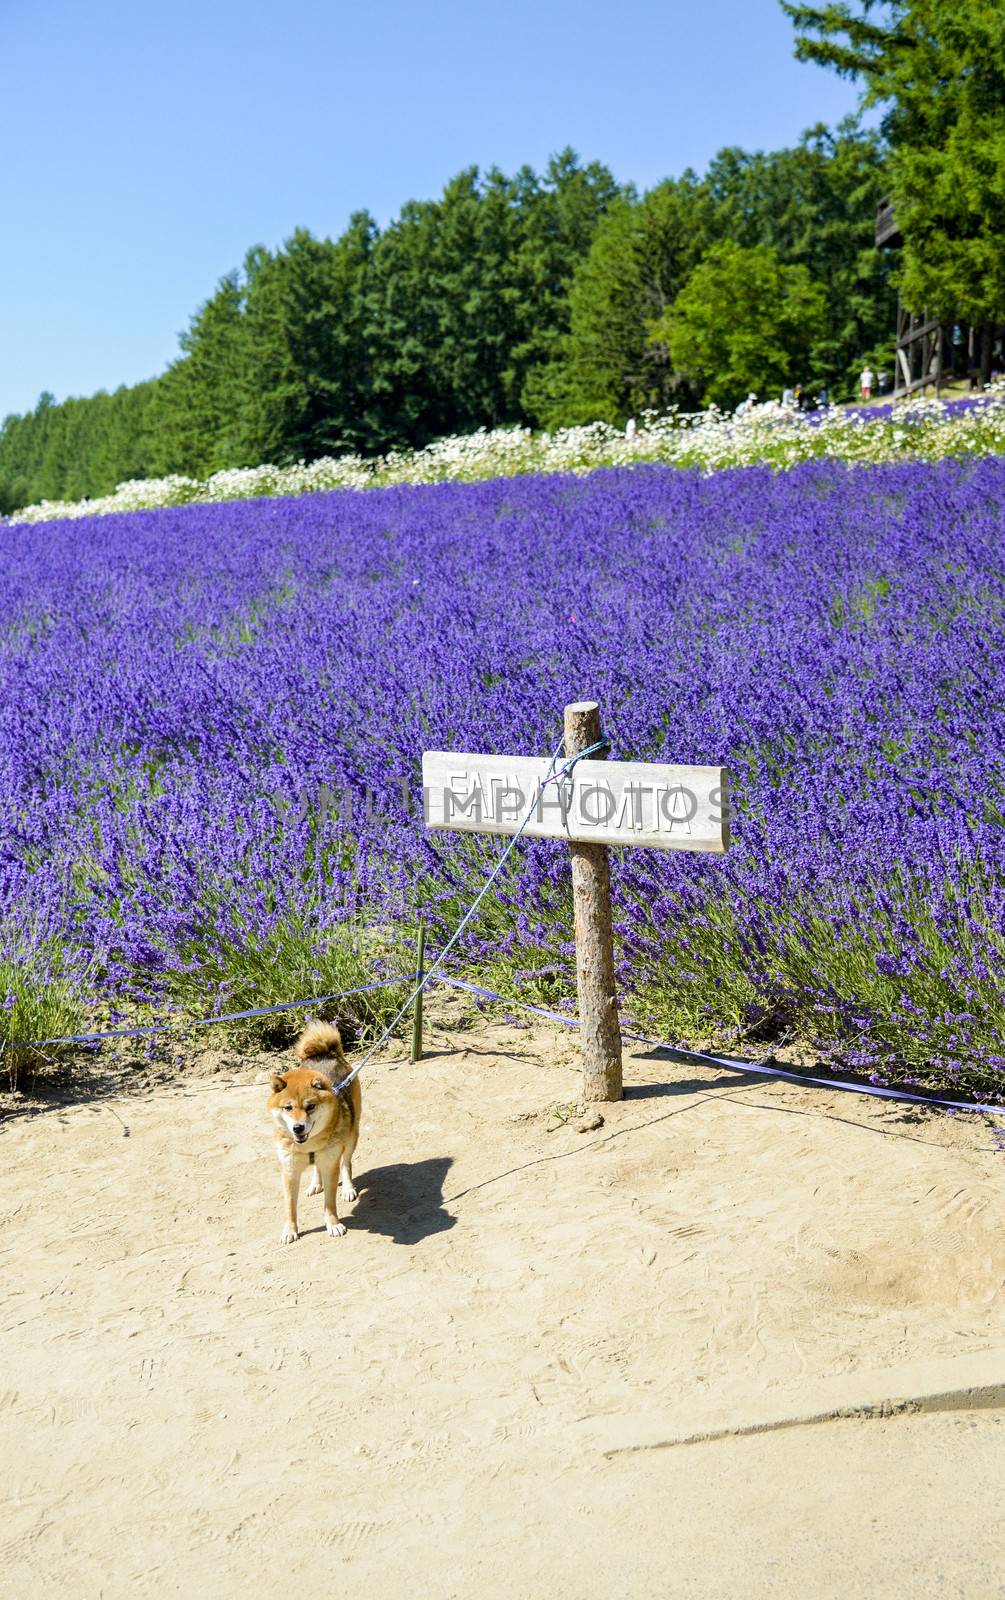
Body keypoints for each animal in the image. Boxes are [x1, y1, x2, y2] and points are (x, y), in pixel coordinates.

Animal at [267, 1017, 361, 1241]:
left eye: (310, 1106)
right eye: (288, 1108)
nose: (298, 1128)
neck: (308, 1146)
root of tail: (327, 1053)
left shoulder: (330, 1164)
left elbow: (329, 1203)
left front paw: (333, 1224)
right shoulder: (290, 1171)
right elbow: (290, 1207)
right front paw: (290, 1230)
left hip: (352, 1135)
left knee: (346, 1163)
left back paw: (348, 1188)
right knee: (316, 1167)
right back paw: (315, 1184)